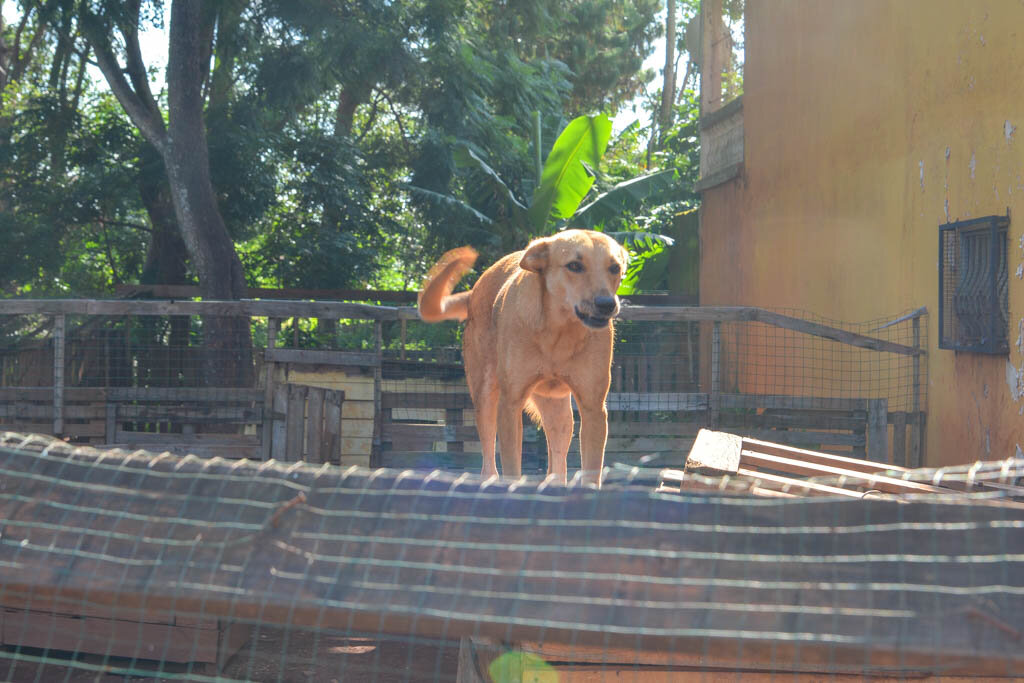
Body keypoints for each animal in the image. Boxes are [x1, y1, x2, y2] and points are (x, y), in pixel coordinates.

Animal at [417, 229, 626, 485]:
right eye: (575, 266)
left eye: (614, 268)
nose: (606, 304)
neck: (558, 333)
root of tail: (475, 291)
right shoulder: (510, 404)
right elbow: (511, 467)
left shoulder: (593, 408)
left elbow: (591, 472)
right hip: (485, 397)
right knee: (489, 461)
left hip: (558, 411)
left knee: (557, 458)